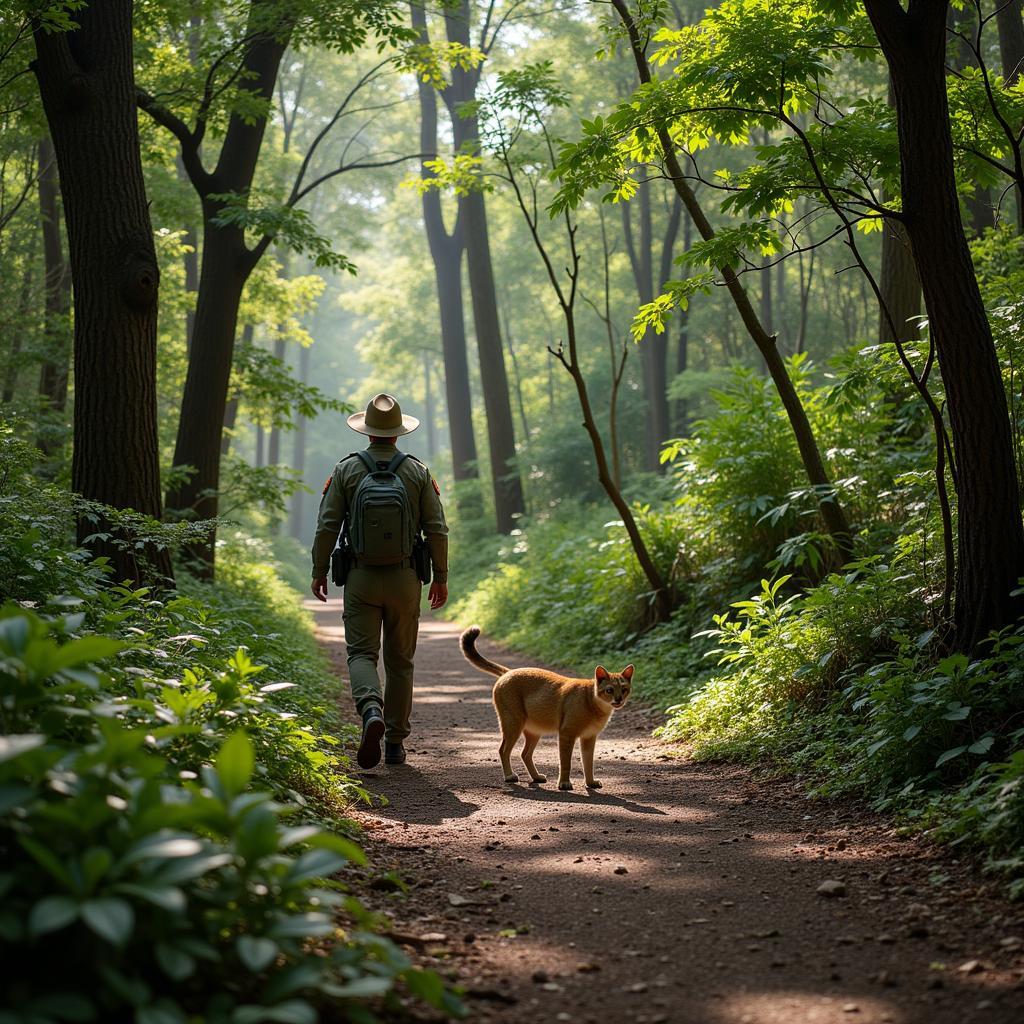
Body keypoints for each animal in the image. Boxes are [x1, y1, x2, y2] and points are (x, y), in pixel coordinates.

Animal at [458, 622, 630, 790]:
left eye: (624, 689)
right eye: (609, 690)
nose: (619, 699)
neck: (595, 704)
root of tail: (508, 672)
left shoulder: (589, 737)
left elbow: (588, 763)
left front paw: (591, 782)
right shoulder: (567, 733)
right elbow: (565, 762)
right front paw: (564, 783)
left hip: (533, 731)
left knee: (524, 754)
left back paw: (536, 777)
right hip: (512, 723)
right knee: (503, 750)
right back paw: (509, 776)